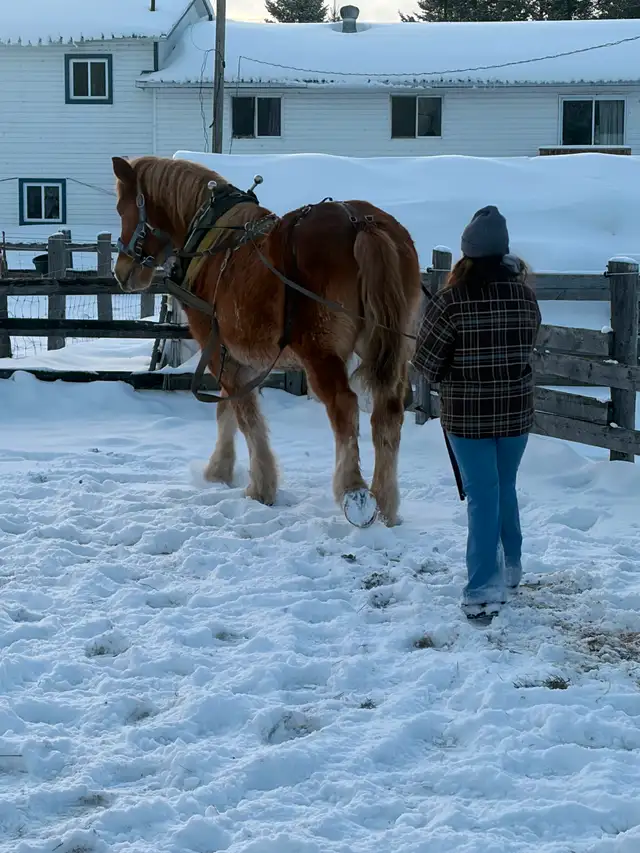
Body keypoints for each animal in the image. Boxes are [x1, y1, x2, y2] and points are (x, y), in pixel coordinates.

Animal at [111, 155, 422, 528]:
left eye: (121, 207)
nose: (121, 272)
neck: (212, 240)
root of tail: (361, 223)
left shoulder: (217, 348)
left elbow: (245, 416)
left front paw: (259, 486)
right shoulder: (238, 355)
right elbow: (229, 410)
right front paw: (220, 471)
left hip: (320, 351)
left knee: (344, 407)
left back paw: (355, 493)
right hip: (393, 347)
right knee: (388, 412)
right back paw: (386, 504)